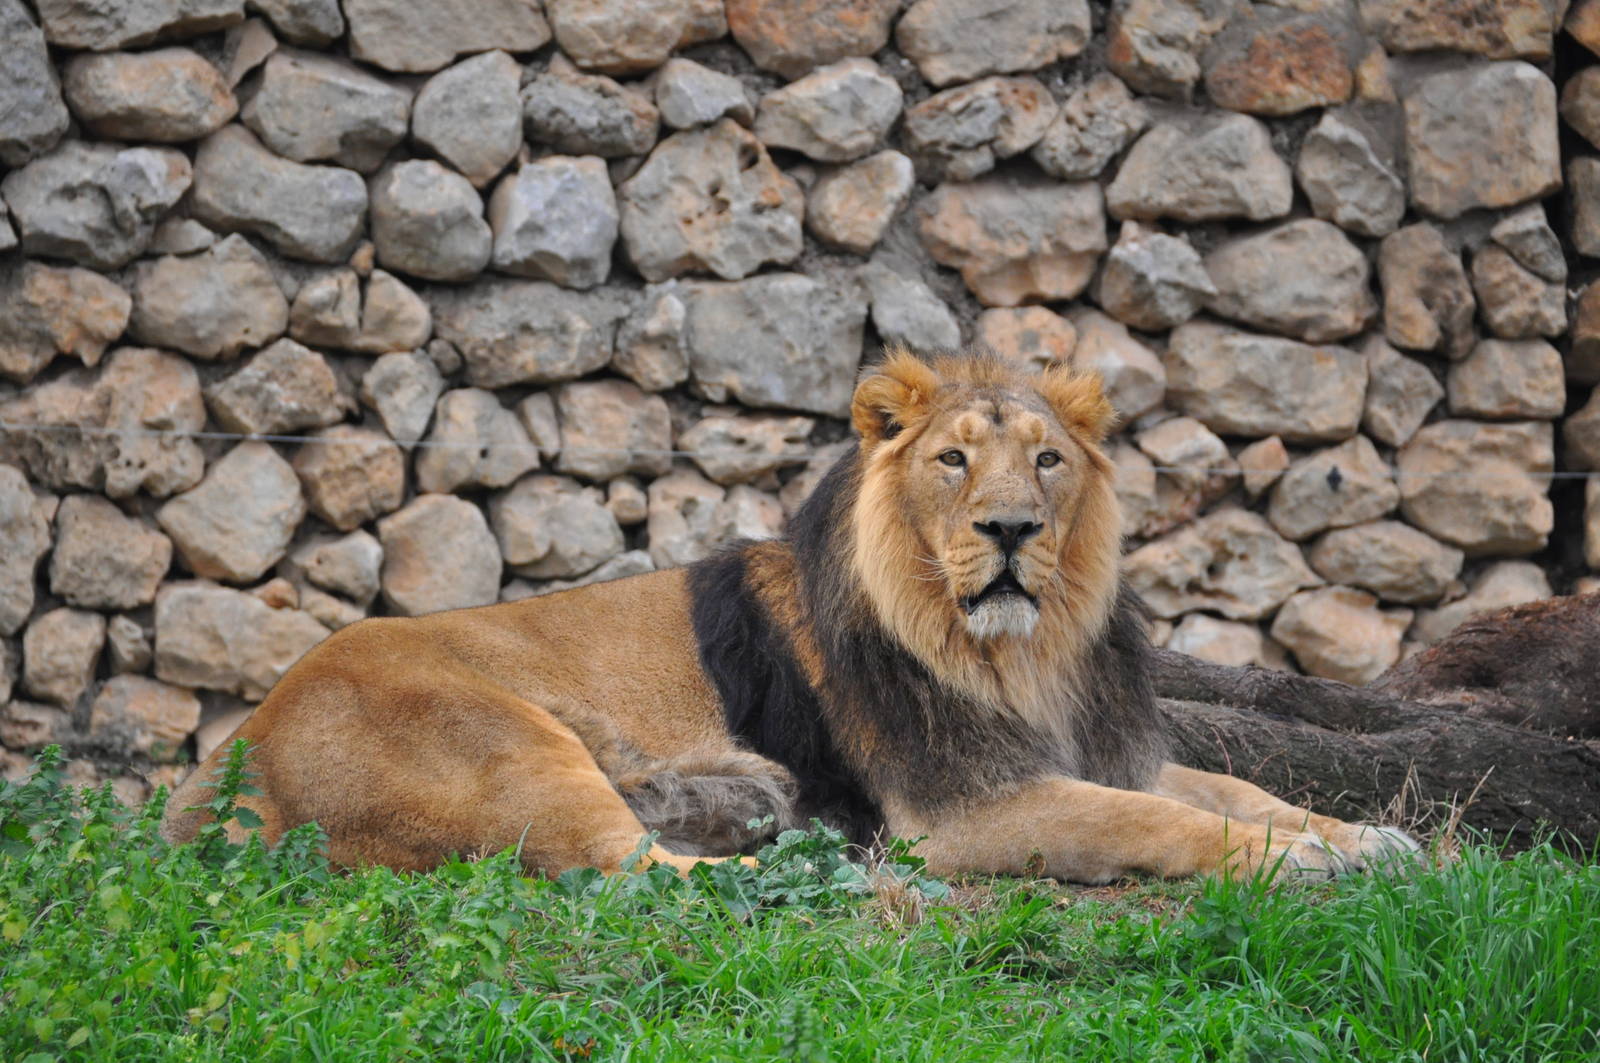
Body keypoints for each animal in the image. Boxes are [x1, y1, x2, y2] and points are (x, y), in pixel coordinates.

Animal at [162, 348, 1418, 882]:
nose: (1012, 527)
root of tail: (236, 753)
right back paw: (795, 874)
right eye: (954, 460)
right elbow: (1161, 823)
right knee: (631, 877)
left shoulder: (1107, 748)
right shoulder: (959, 806)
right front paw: (1306, 864)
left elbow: (1243, 789)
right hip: (508, 743)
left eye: (1048, 461)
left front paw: (1370, 841)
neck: (1028, 653)